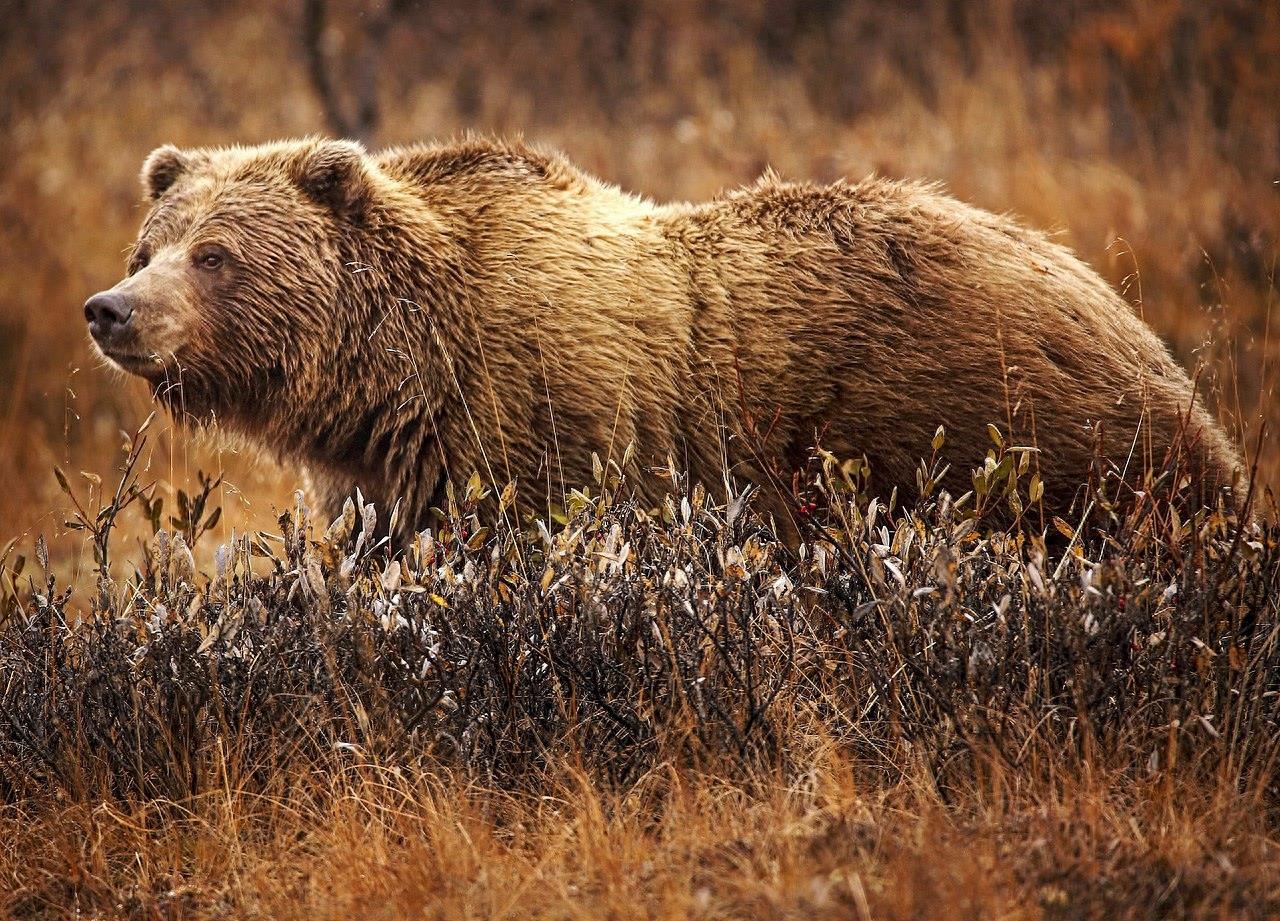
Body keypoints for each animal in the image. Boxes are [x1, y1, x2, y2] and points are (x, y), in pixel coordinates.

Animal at [82, 135, 1239, 532]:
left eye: (216, 254)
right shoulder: (390, 475)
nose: (110, 310)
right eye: (150, 244)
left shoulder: (546, 426)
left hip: (1013, 436)